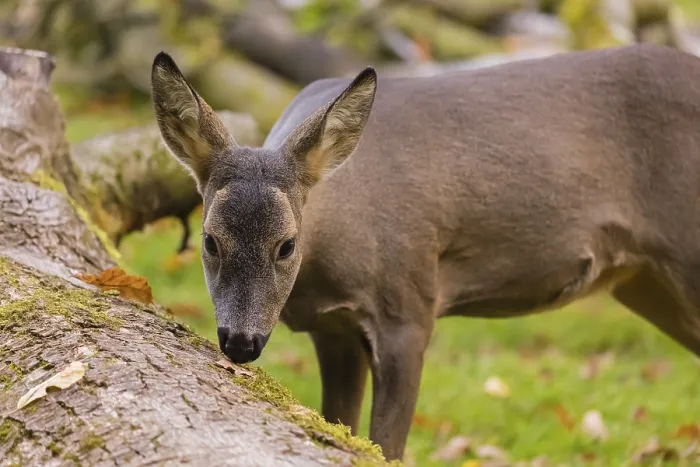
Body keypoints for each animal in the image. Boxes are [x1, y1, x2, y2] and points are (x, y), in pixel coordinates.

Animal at [150, 43, 700, 461]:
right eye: (210, 241)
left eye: (287, 245)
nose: (241, 342)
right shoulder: (333, 329)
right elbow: (339, 422)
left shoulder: (409, 304)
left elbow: (388, 444)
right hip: (646, 282)